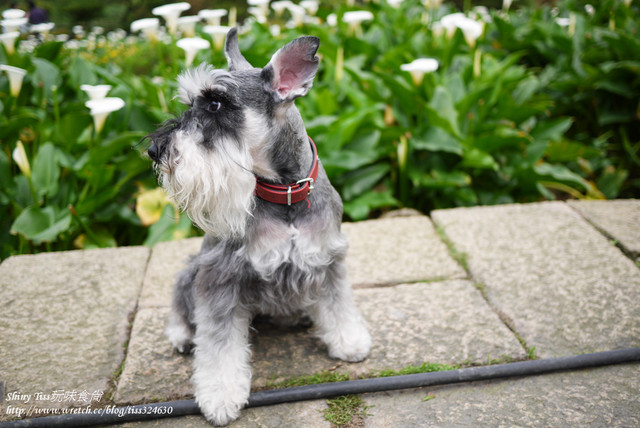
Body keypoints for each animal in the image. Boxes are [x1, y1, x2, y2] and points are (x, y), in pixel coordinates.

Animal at [144, 28, 370, 426]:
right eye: (191, 103)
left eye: (215, 104)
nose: (154, 151)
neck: (286, 196)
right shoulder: (219, 276)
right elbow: (218, 344)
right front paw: (220, 395)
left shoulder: (328, 260)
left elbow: (338, 302)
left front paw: (348, 340)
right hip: (190, 270)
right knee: (182, 305)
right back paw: (182, 335)